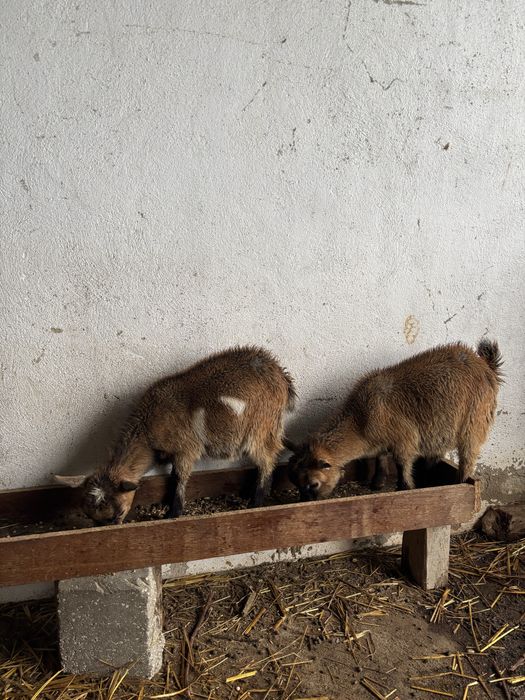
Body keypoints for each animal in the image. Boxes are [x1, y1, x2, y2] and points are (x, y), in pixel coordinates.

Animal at [56, 346, 296, 524]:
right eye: (89, 516)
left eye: (119, 513)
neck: (147, 430)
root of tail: (281, 375)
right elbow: (172, 476)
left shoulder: (186, 449)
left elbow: (180, 477)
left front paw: (173, 512)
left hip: (260, 426)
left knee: (267, 458)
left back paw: (257, 501)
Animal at [286, 340, 502, 501]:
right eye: (295, 480)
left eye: (313, 484)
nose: (306, 501)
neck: (360, 419)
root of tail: (486, 365)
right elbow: (380, 458)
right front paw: (377, 482)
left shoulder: (404, 440)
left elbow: (401, 464)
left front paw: (404, 487)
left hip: (474, 421)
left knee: (468, 457)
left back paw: (460, 481)